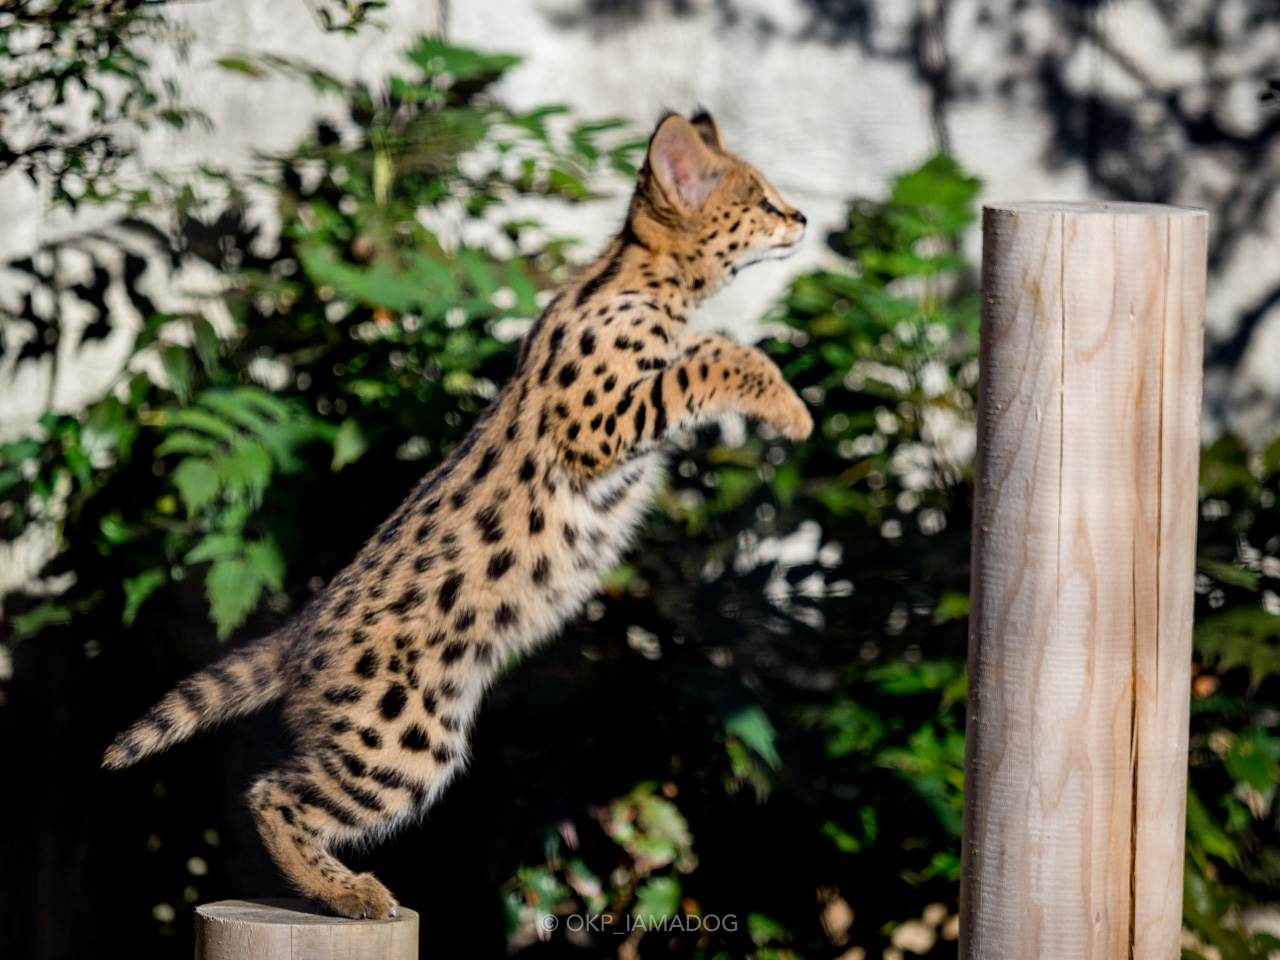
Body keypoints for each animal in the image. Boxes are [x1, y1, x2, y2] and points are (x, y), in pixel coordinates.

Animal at [103, 110, 812, 920]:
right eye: (760, 200)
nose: (802, 218)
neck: (638, 282)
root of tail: (299, 633)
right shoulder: (597, 422)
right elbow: (719, 356)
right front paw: (793, 409)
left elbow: (708, 350)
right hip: (402, 736)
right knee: (271, 793)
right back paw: (352, 894)